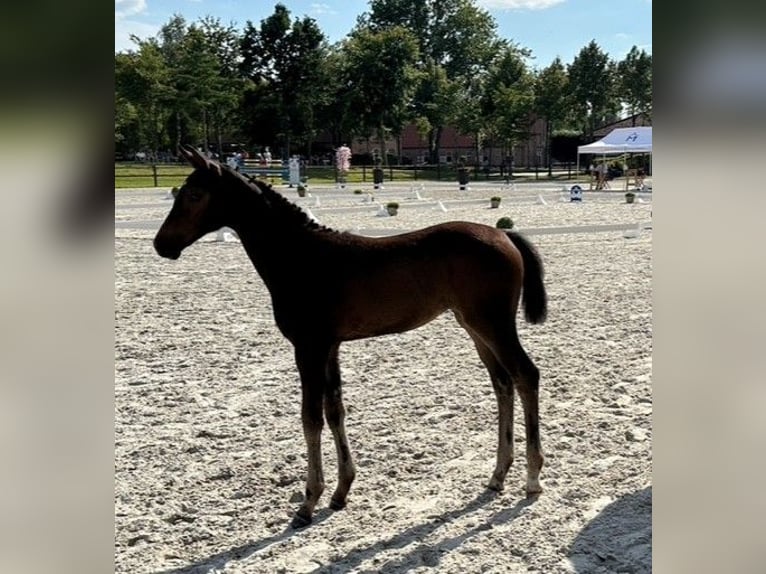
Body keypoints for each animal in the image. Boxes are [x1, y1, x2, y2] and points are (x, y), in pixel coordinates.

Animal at [156, 145, 548, 532]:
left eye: (194, 194)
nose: (162, 244)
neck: (302, 258)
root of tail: (505, 235)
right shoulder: (330, 347)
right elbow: (335, 411)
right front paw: (341, 491)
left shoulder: (308, 348)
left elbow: (310, 418)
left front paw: (308, 503)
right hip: (475, 328)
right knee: (503, 384)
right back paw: (497, 475)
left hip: (493, 325)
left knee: (526, 375)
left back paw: (532, 480)